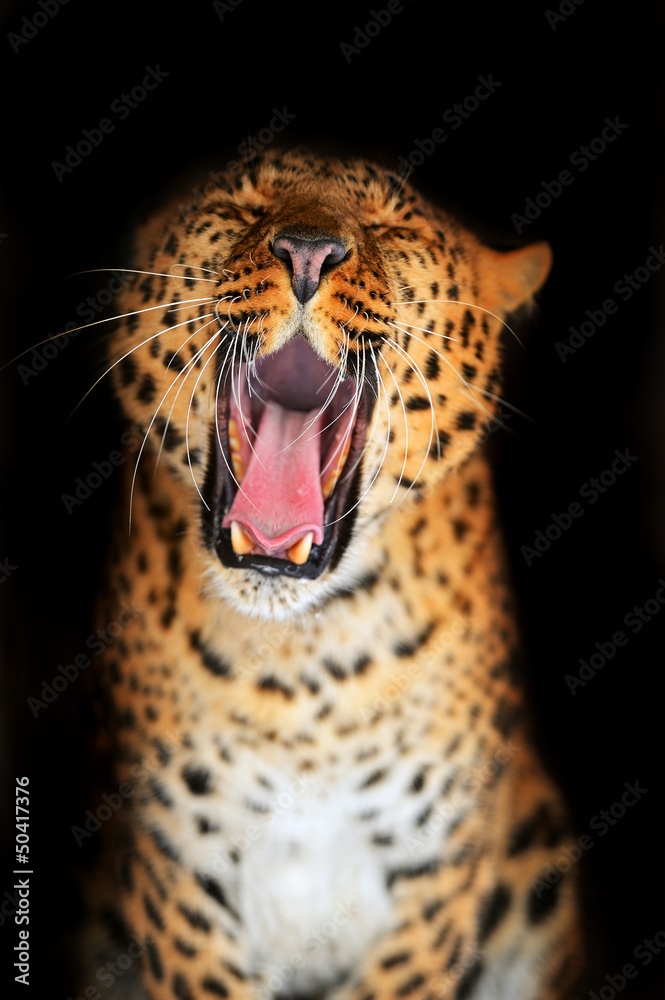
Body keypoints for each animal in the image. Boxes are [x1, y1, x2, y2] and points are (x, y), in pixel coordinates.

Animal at [75, 147, 584, 1000]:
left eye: (391, 226)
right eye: (240, 203)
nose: (307, 251)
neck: (299, 674)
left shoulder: (436, 876)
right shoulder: (175, 869)